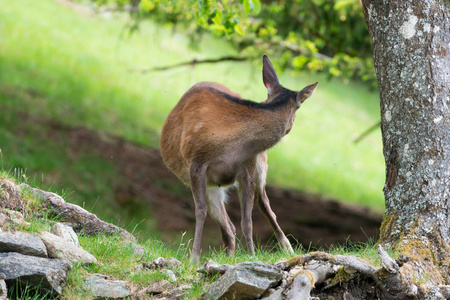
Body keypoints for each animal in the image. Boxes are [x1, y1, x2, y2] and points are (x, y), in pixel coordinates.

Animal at [160, 55, 318, 262]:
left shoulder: (248, 169)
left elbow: (247, 220)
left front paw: (251, 256)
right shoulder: (196, 163)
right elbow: (200, 211)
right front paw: (194, 257)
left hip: (260, 165)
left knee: (263, 205)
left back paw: (288, 249)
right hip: (212, 185)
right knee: (228, 225)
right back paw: (229, 255)